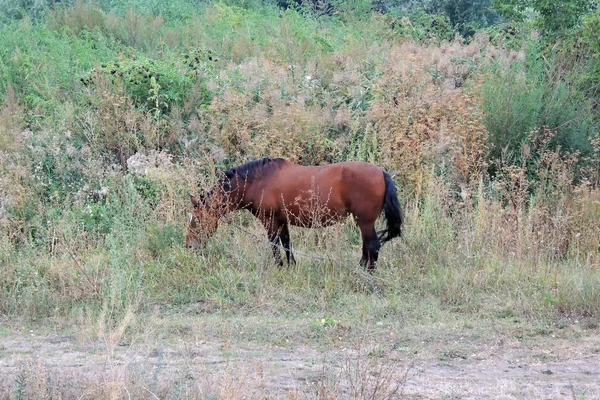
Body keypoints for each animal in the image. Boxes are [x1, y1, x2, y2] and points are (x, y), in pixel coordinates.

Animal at [186, 158, 404, 270]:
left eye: (197, 220)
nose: (189, 246)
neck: (257, 181)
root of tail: (382, 173)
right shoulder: (282, 221)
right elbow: (286, 244)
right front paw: (291, 266)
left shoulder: (270, 221)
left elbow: (275, 245)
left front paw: (280, 267)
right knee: (367, 247)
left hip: (365, 221)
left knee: (372, 246)